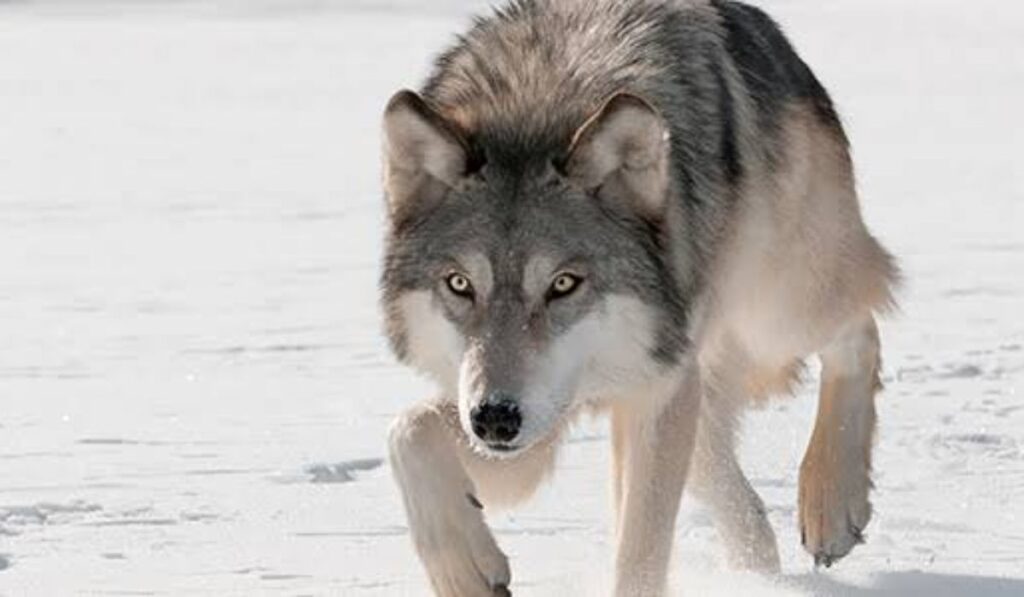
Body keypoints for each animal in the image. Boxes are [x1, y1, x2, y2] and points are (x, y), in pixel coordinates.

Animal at [379, 0, 898, 595]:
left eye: (563, 284)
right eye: (460, 284)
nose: (495, 419)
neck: (536, 106)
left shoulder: (653, 387)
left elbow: (641, 550)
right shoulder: (530, 420)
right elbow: (408, 432)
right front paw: (463, 568)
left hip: (776, 311)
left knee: (861, 327)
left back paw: (831, 506)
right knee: (721, 474)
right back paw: (759, 567)